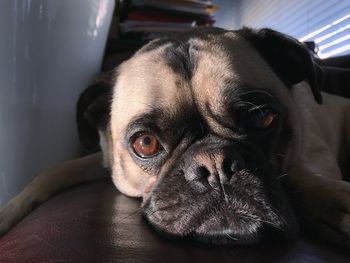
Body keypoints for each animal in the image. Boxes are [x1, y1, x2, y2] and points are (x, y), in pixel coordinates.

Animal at [0, 27, 350, 249]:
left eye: (262, 118)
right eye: (145, 143)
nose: (215, 165)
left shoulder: (312, 156)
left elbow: (304, 177)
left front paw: (335, 202)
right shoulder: (98, 161)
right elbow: (53, 172)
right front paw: (8, 213)